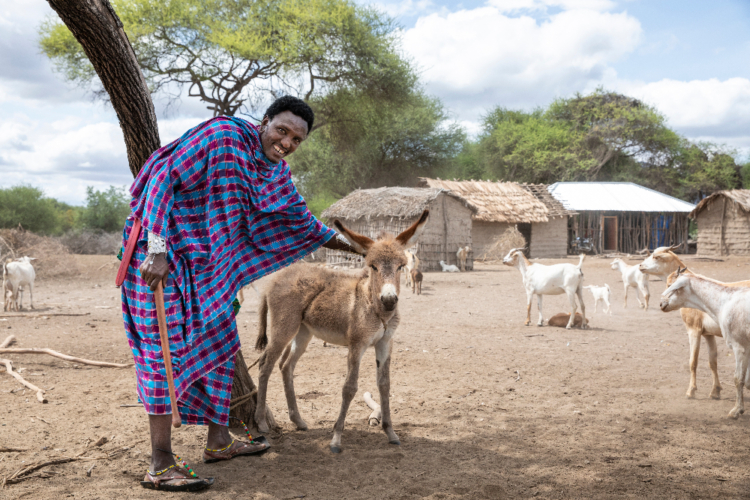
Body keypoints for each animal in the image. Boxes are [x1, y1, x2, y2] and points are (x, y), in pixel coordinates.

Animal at [254, 211, 430, 453]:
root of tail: (277, 278)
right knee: (266, 365)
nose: (389, 300)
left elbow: (384, 385)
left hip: (303, 332)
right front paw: (336, 439)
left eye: (400, 266)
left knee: (286, 366)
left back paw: (298, 420)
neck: (376, 310)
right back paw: (261, 421)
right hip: (283, 328)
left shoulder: (385, 343)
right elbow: (349, 387)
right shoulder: (357, 345)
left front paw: (390, 432)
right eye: (373, 266)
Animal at [639, 246, 750, 399]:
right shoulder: (708, 334)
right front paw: (715, 391)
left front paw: (691, 391)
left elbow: (693, 362)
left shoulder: (693, 330)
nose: (640, 266)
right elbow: (712, 362)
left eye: (656, 257)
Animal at [661, 269, 750, 418]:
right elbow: (712, 362)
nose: (661, 304)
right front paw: (715, 392)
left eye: (672, 286)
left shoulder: (739, 346)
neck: (724, 302)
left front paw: (737, 410)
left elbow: (738, 379)